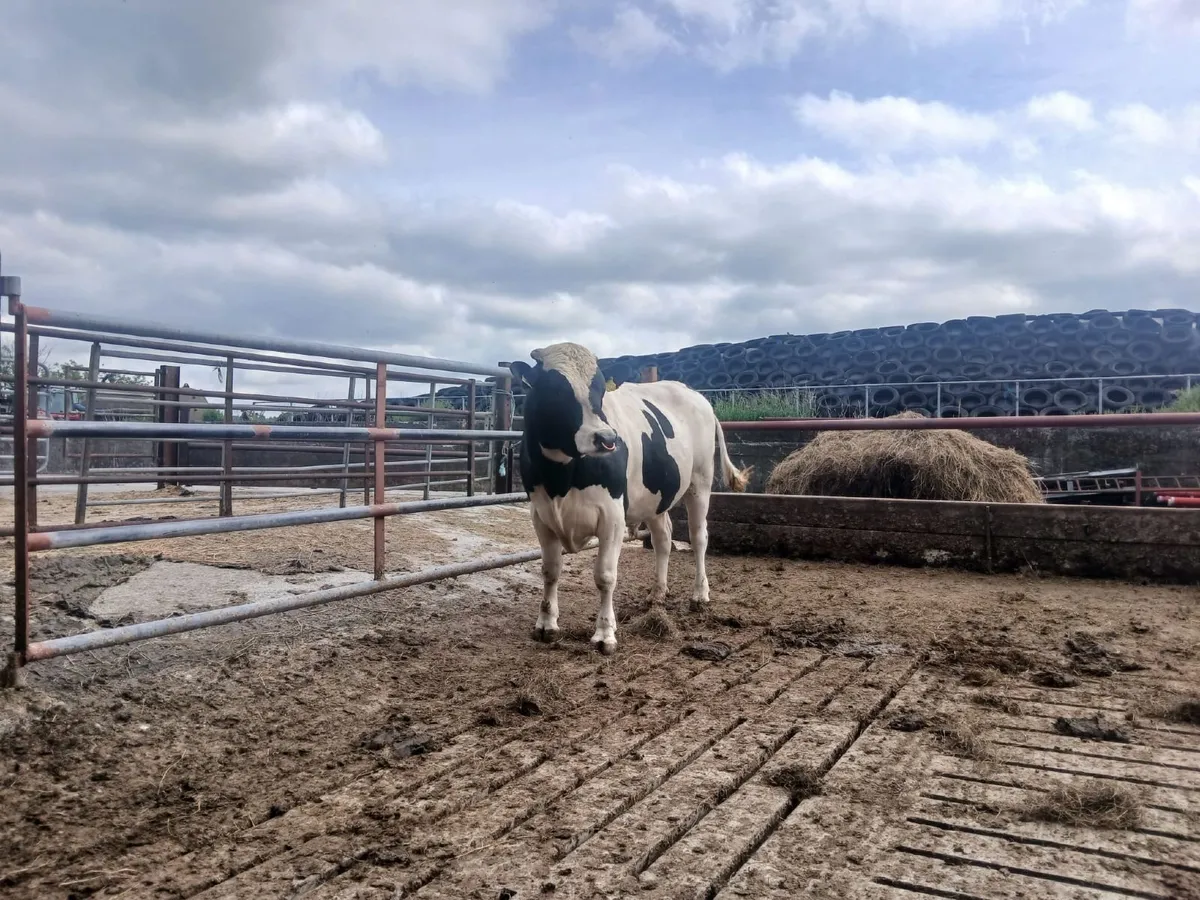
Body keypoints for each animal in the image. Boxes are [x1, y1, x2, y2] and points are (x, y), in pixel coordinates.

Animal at [508, 342, 751, 655]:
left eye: (600, 390)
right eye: (555, 389)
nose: (607, 438)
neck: (562, 476)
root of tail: (695, 395)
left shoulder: (612, 517)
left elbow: (605, 576)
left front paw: (604, 634)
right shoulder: (541, 515)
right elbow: (550, 571)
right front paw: (546, 624)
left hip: (700, 482)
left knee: (699, 537)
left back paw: (699, 595)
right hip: (657, 498)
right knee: (663, 538)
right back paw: (658, 593)